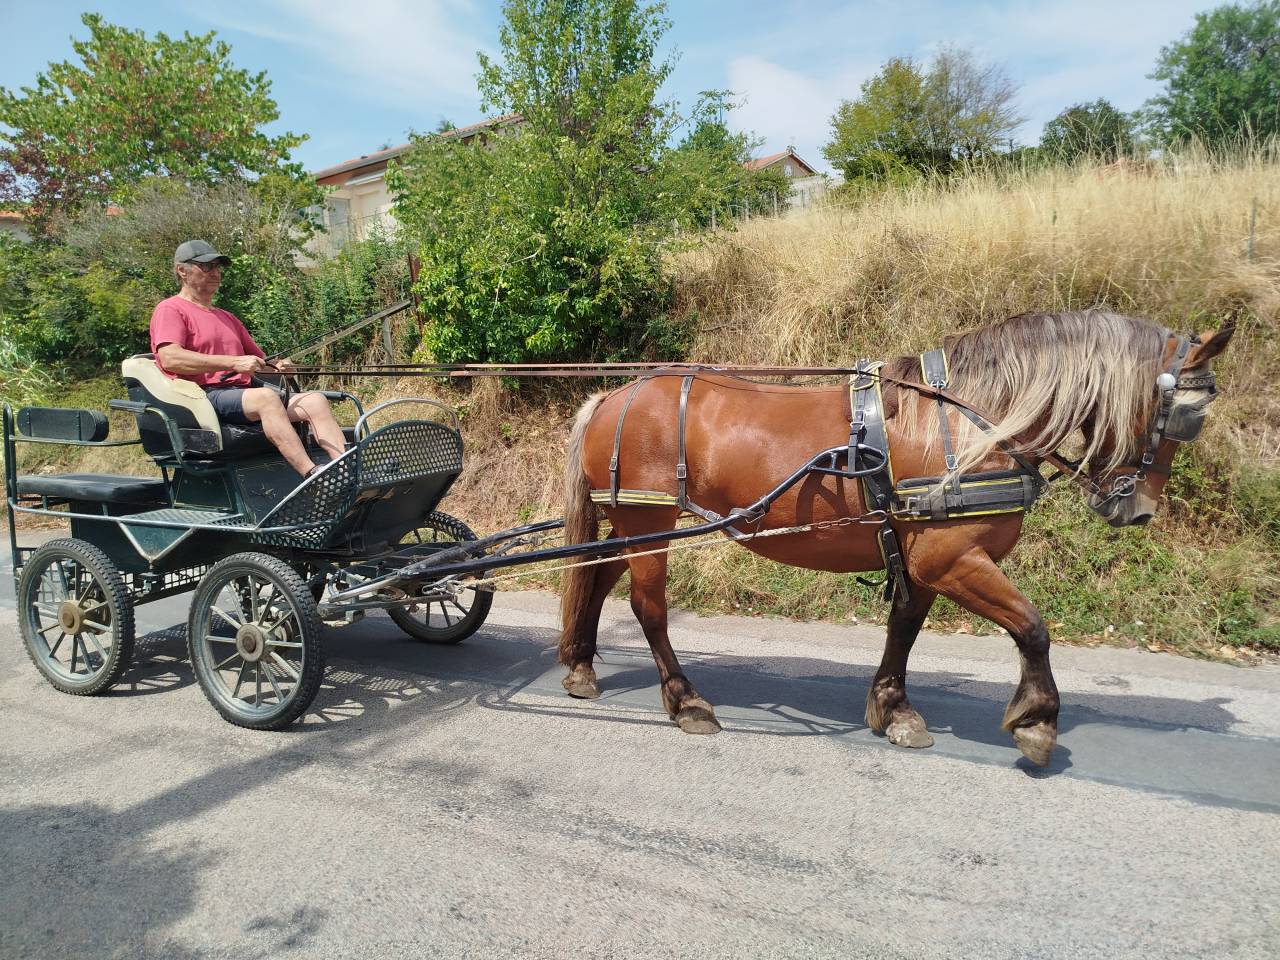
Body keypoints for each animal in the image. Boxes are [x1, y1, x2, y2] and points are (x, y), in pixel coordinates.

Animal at [556, 310, 1234, 766]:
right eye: (1187, 416)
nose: (1138, 512)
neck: (974, 423)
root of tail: (613, 395)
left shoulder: (926, 555)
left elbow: (904, 630)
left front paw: (893, 708)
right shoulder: (952, 557)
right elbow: (1032, 626)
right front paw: (1037, 721)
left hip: (635, 524)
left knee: (597, 576)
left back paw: (582, 666)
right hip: (650, 522)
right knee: (648, 606)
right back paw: (686, 701)